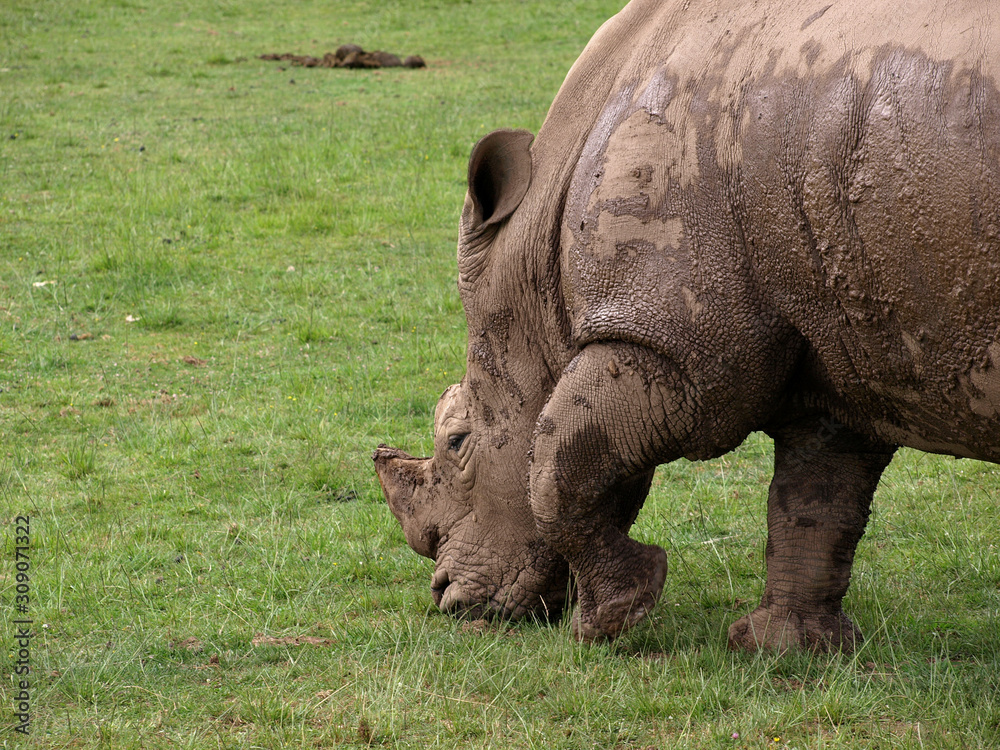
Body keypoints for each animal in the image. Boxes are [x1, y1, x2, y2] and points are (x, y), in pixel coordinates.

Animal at [373, 0, 1000, 651]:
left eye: (457, 441)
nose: (449, 600)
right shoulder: (836, 339)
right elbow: (815, 498)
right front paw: (784, 649)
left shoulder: (678, 348)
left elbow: (553, 464)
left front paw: (612, 618)